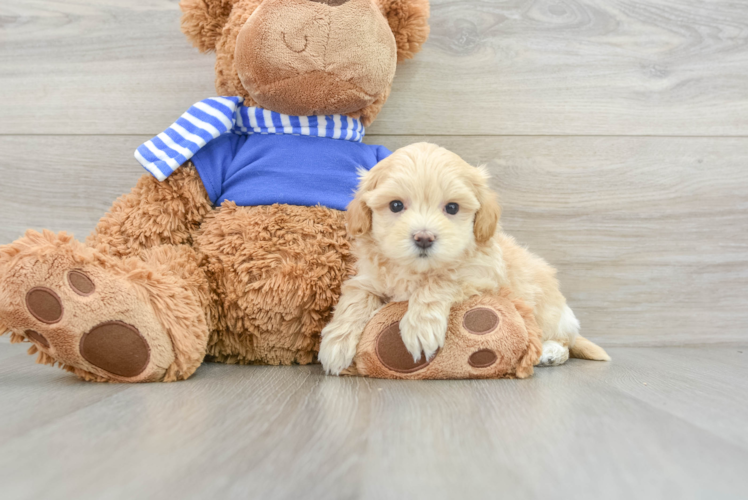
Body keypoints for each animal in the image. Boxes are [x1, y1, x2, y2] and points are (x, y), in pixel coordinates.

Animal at [318, 142, 612, 376]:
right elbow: (355, 297)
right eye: (396, 205)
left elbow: (441, 281)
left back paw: (549, 352)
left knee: (564, 341)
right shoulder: (369, 278)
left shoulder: (480, 275)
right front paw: (336, 343)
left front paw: (420, 327)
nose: (423, 237)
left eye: (452, 208)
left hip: (549, 312)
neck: (418, 271)